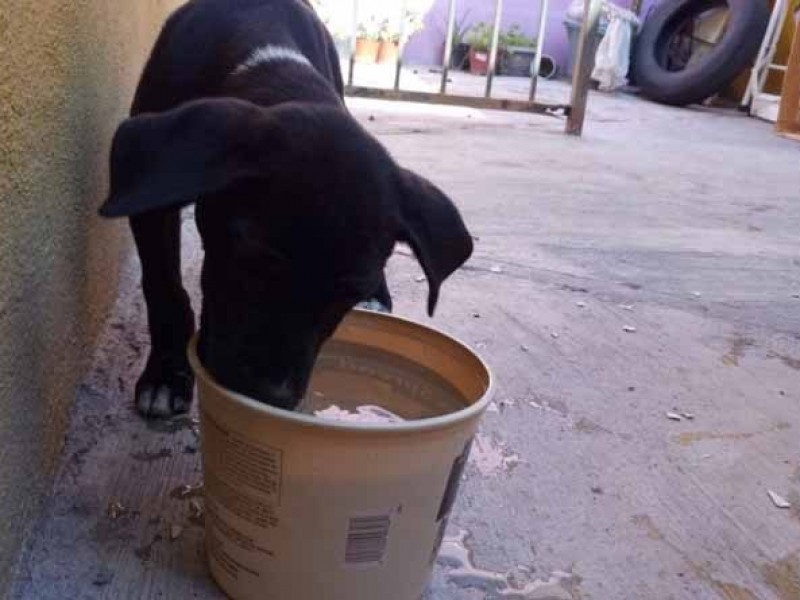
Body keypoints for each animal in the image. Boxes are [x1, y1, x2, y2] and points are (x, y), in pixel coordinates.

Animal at [101, 0, 476, 418]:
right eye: (254, 259)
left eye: (349, 291)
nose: (269, 396)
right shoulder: (152, 192)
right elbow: (164, 288)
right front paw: (165, 376)